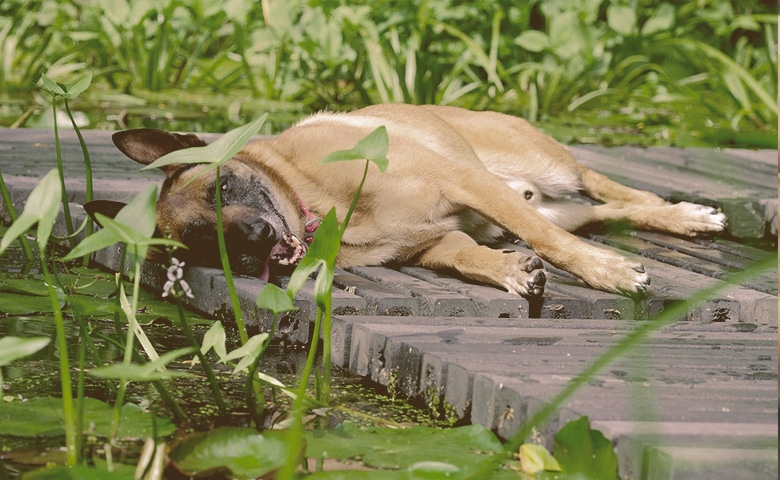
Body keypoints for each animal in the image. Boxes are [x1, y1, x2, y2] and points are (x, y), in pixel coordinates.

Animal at [100, 104, 728, 296]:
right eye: (203, 241)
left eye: (224, 188)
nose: (255, 238)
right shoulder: (434, 243)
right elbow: (466, 255)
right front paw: (510, 272)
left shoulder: (462, 181)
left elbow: (548, 241)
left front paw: (608, 273)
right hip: (557, 202)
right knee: (603, 210)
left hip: (550, 166)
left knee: (607, 187)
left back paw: (686, 214)